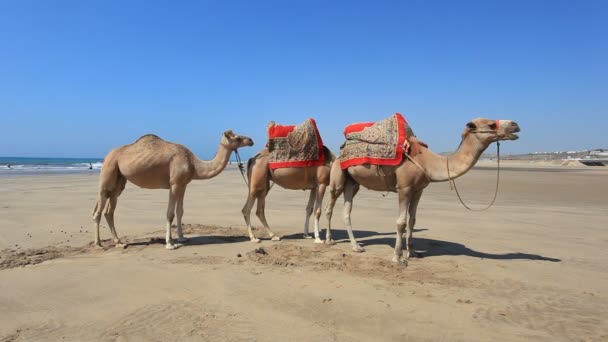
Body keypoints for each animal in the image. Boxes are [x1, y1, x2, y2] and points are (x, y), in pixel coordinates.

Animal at [91, 130, 253, 250]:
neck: (193, 164)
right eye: (238, 138)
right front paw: (170, 244)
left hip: (119, 180)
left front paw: (182, 238)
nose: (251, 140)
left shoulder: (183, 184)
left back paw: (119, 242)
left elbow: (180, 211)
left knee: (109, 210)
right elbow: (170, 214)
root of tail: (107, 155)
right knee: (98, 209)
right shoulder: (174, 183)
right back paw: (98, 244)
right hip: (109, 168)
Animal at [326, 117, 520, 264]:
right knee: (330, 207)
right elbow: (401, 222)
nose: (515, 124)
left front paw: (412, 253)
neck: (428, 162)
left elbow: (412, 221)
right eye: (491, 124)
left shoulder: (419, 190)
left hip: (353, 183)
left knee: (347, 212)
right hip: (338, 178)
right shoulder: (404, 188)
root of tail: (341, 150)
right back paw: (328, 240)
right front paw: (397, 257)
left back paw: (356, 246)